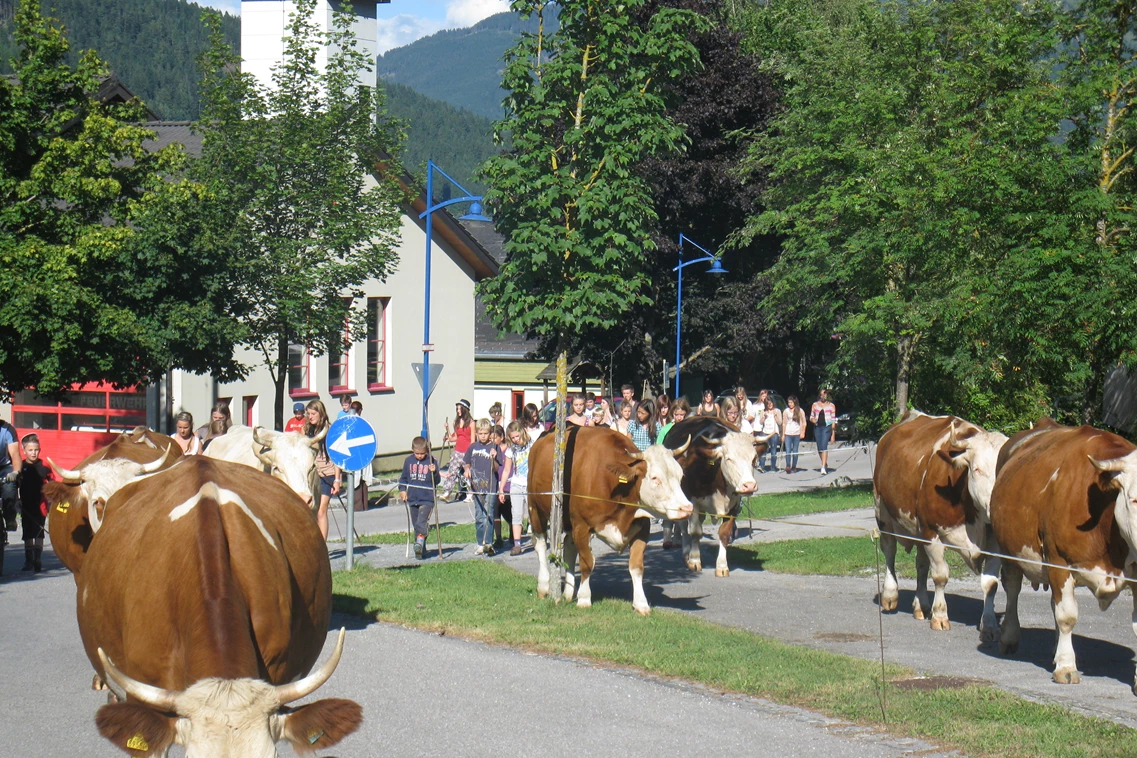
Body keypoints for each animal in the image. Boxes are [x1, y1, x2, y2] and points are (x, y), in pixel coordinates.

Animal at [525, 427, 691, 618]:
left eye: (681, 476)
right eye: (655, 478)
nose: (687, 508)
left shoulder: (642, 528)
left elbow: (636, 566)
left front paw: (641, 604)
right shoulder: (582, 526)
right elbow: (587, 563)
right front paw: (584, 599)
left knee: (569, 547)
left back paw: (568, 592)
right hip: (535, 508)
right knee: (540, 544)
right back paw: (544, 586)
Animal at [659, 418, 773, 577]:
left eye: (754, 458)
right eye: (729, 459)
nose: (749, 485)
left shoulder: (734, 506)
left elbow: (724, 534)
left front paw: (722, 566)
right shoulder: (694, 503)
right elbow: (695, 532)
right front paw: (694, 561)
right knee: (683, 528)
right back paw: (686, 555)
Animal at [868, 411, 1005, 636]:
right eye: (977, 469)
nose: (995, 508)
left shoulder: (995, 544)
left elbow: (991, 583)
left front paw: (990, 624)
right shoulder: (932, 533)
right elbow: (940, 575)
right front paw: (940, 616)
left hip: (918, 528)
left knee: (921, 564)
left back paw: (921, 605)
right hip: (883, 513)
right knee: (889, 551)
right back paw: (890, 595)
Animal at [986, 420, 1137, 695]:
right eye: (1134, 499)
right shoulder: (1058, 561)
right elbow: (1067, 615)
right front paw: (1066, 667)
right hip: (1009, 551)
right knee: (1012, 589)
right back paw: (1010, 637)